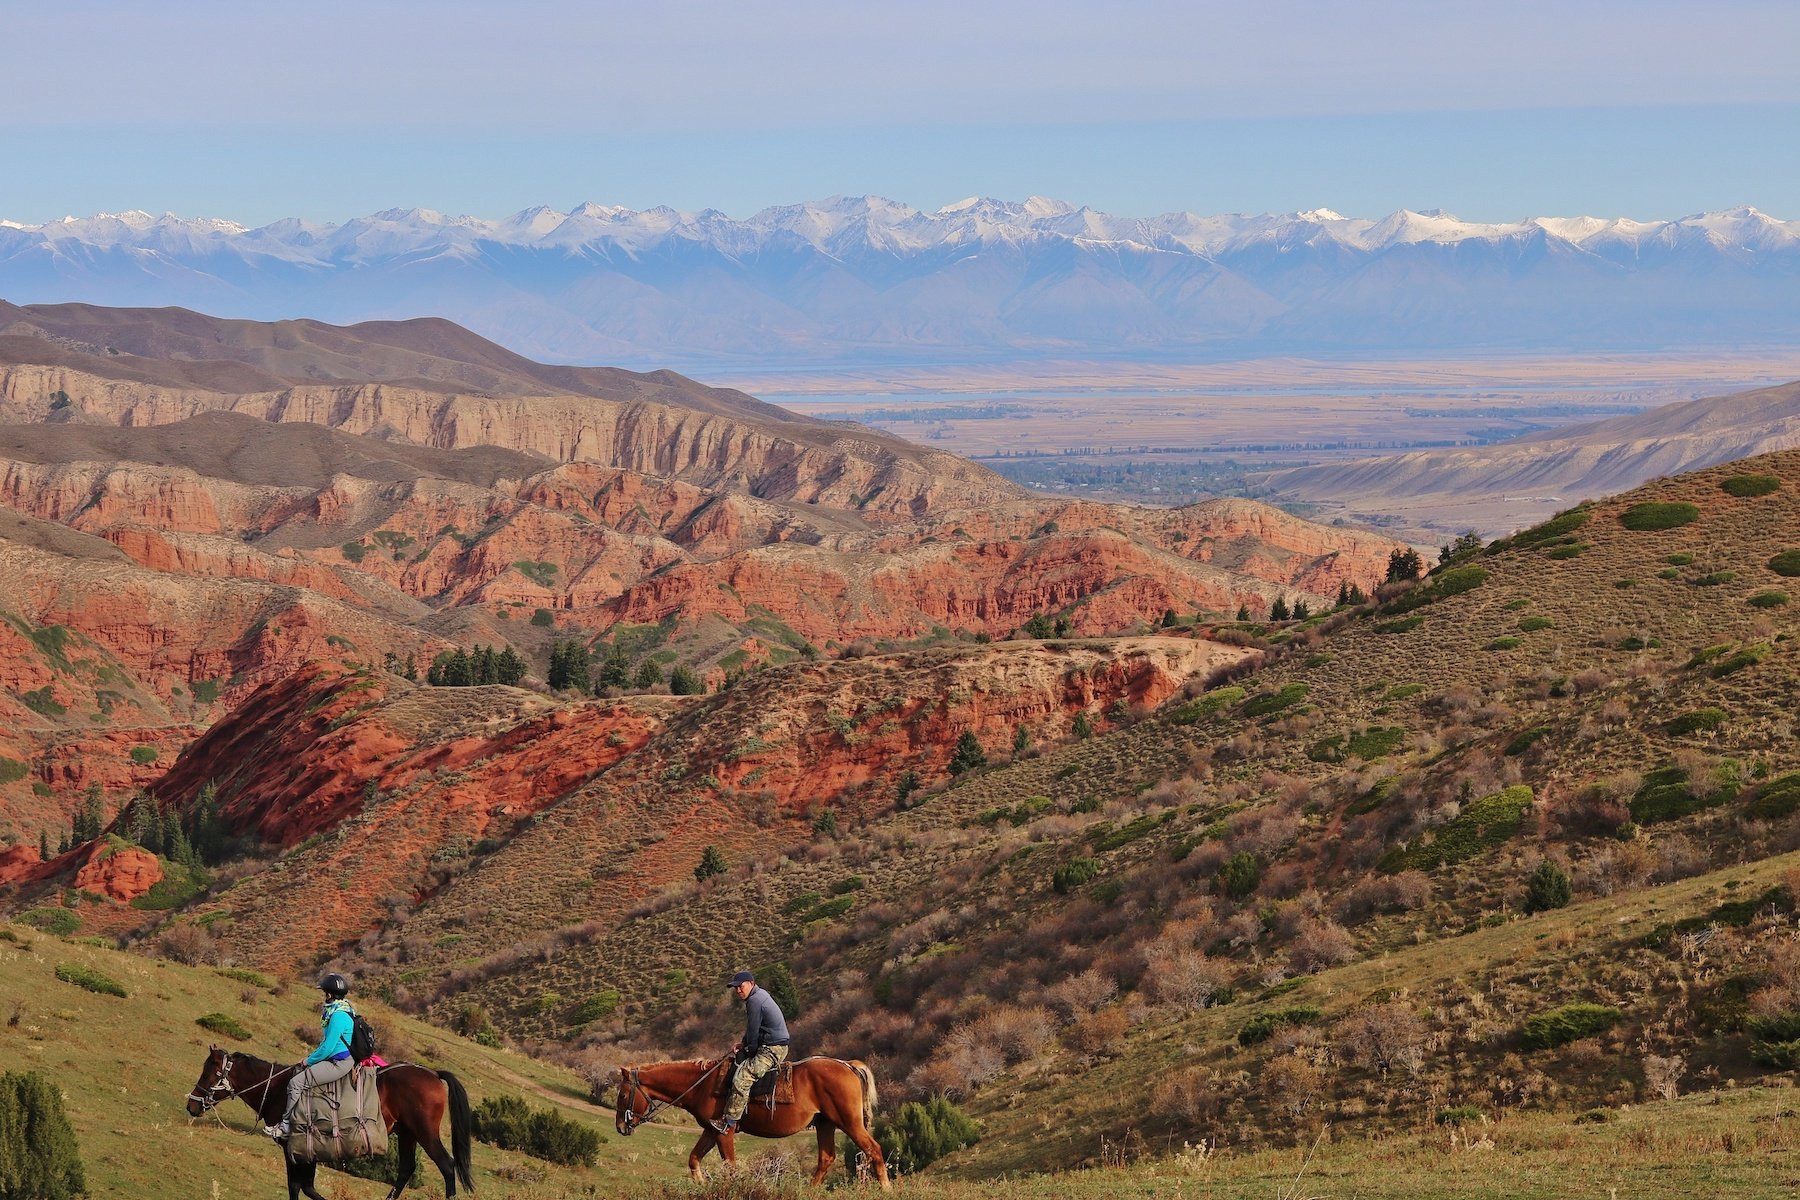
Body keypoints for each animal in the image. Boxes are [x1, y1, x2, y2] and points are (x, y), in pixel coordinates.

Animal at [186, 1043, 475, 1200]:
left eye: (209, 1072)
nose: (192, 1105)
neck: (278, 1089)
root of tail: (432, 1073)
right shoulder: (302, 1149)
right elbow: (304, 1186)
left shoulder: (295, 1148)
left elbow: (299, 1186)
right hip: (407, 1133)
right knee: (406, 1169)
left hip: (424, 1131)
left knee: (447, 1165)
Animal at [615, 1057, 889, 1187]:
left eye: (622, 1094)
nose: (620, 1126)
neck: (703, 1083)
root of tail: (849, 1066)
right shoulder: (711, 1130)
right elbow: (694, 1159)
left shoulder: (724, 1133)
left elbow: (730, 1167)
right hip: (825, 1124)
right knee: (826, 1159)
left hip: (850, 1123)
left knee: (874, 1150)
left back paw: (886, 1189)